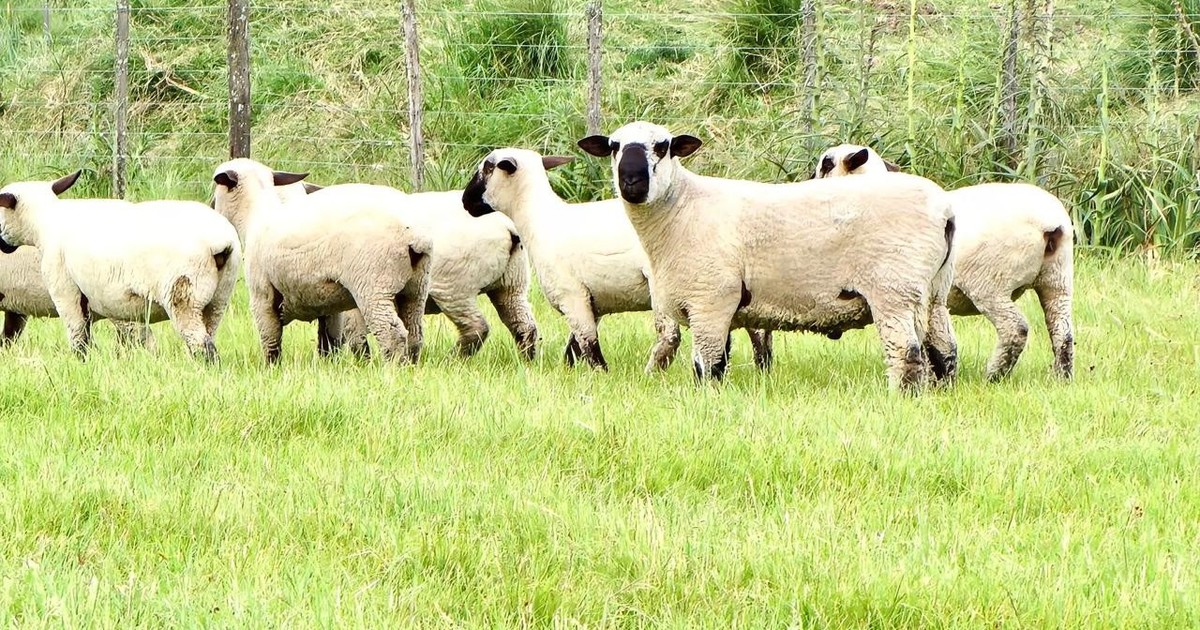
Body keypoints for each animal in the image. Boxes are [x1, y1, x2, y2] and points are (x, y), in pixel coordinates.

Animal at [211, 158, 433, 364]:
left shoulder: (262, 294)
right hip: (416, 287)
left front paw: (271, 369)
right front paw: (328, 364)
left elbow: (271, 340)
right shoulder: (326, 301)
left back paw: (393, 369)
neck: (255, 216)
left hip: (374, 285)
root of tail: (414, 237)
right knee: (415, 333)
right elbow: (328, 341)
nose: (211, 206)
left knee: (392, 333)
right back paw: (410, 367)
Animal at [274, 182, 539, 361]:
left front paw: (363, 363)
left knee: (477, 327)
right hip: (511, 285)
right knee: (524, 325)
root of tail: (508, 228)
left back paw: (453, 360)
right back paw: (528, 361)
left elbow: (355, 337)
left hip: (455, 288)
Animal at [461, 147, 778, 373]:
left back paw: (651, 374)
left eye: (487, 168)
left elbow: (588, 343)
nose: (465, 202)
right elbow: (575, 346)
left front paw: (601, 374)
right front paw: (570, 372)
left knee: (670, 337)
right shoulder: (592, 301)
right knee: (757, 330)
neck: (538, 219)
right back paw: (762, 368)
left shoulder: (572, 295)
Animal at [578, 121, 958, 390]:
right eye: (613, 147)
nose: (631, 180)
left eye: (664, 146)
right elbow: (722, 361)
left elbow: (707, 366)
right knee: (944, 350)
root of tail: (945, 211)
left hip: (894, 289)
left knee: (906, 351)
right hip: (933, 291)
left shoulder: (710, 300)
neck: (681, 209)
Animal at [813, 143, 1074, 380]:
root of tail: (1050, 225)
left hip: (991, 283)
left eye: (826, 165)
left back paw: (994, 375)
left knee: (1016, 328)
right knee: (1063, 332)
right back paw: (1061, 377)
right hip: (1057, 279)